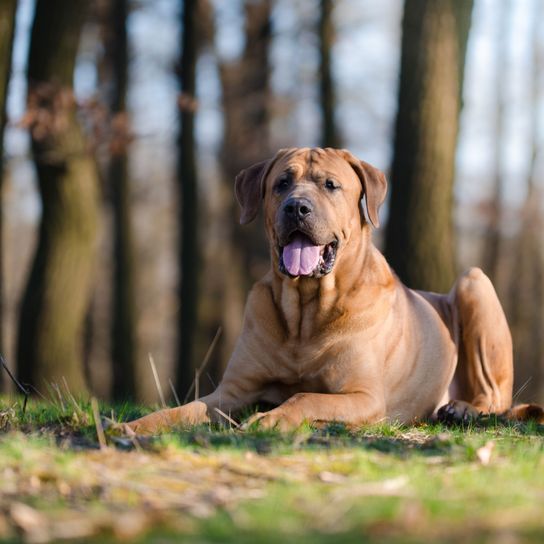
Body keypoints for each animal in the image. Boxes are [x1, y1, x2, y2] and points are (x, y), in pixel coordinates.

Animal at [129, 148, 544, 434]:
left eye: (330, 185)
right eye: (281, 183)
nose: (297, 207)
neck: (305, 312)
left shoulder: (363, 396)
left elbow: (305, 395)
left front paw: (270, 419)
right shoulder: (232, 391)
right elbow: (185, 409)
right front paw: (135, 426)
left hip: (474, 282)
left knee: (496, 397)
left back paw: (464, 409)